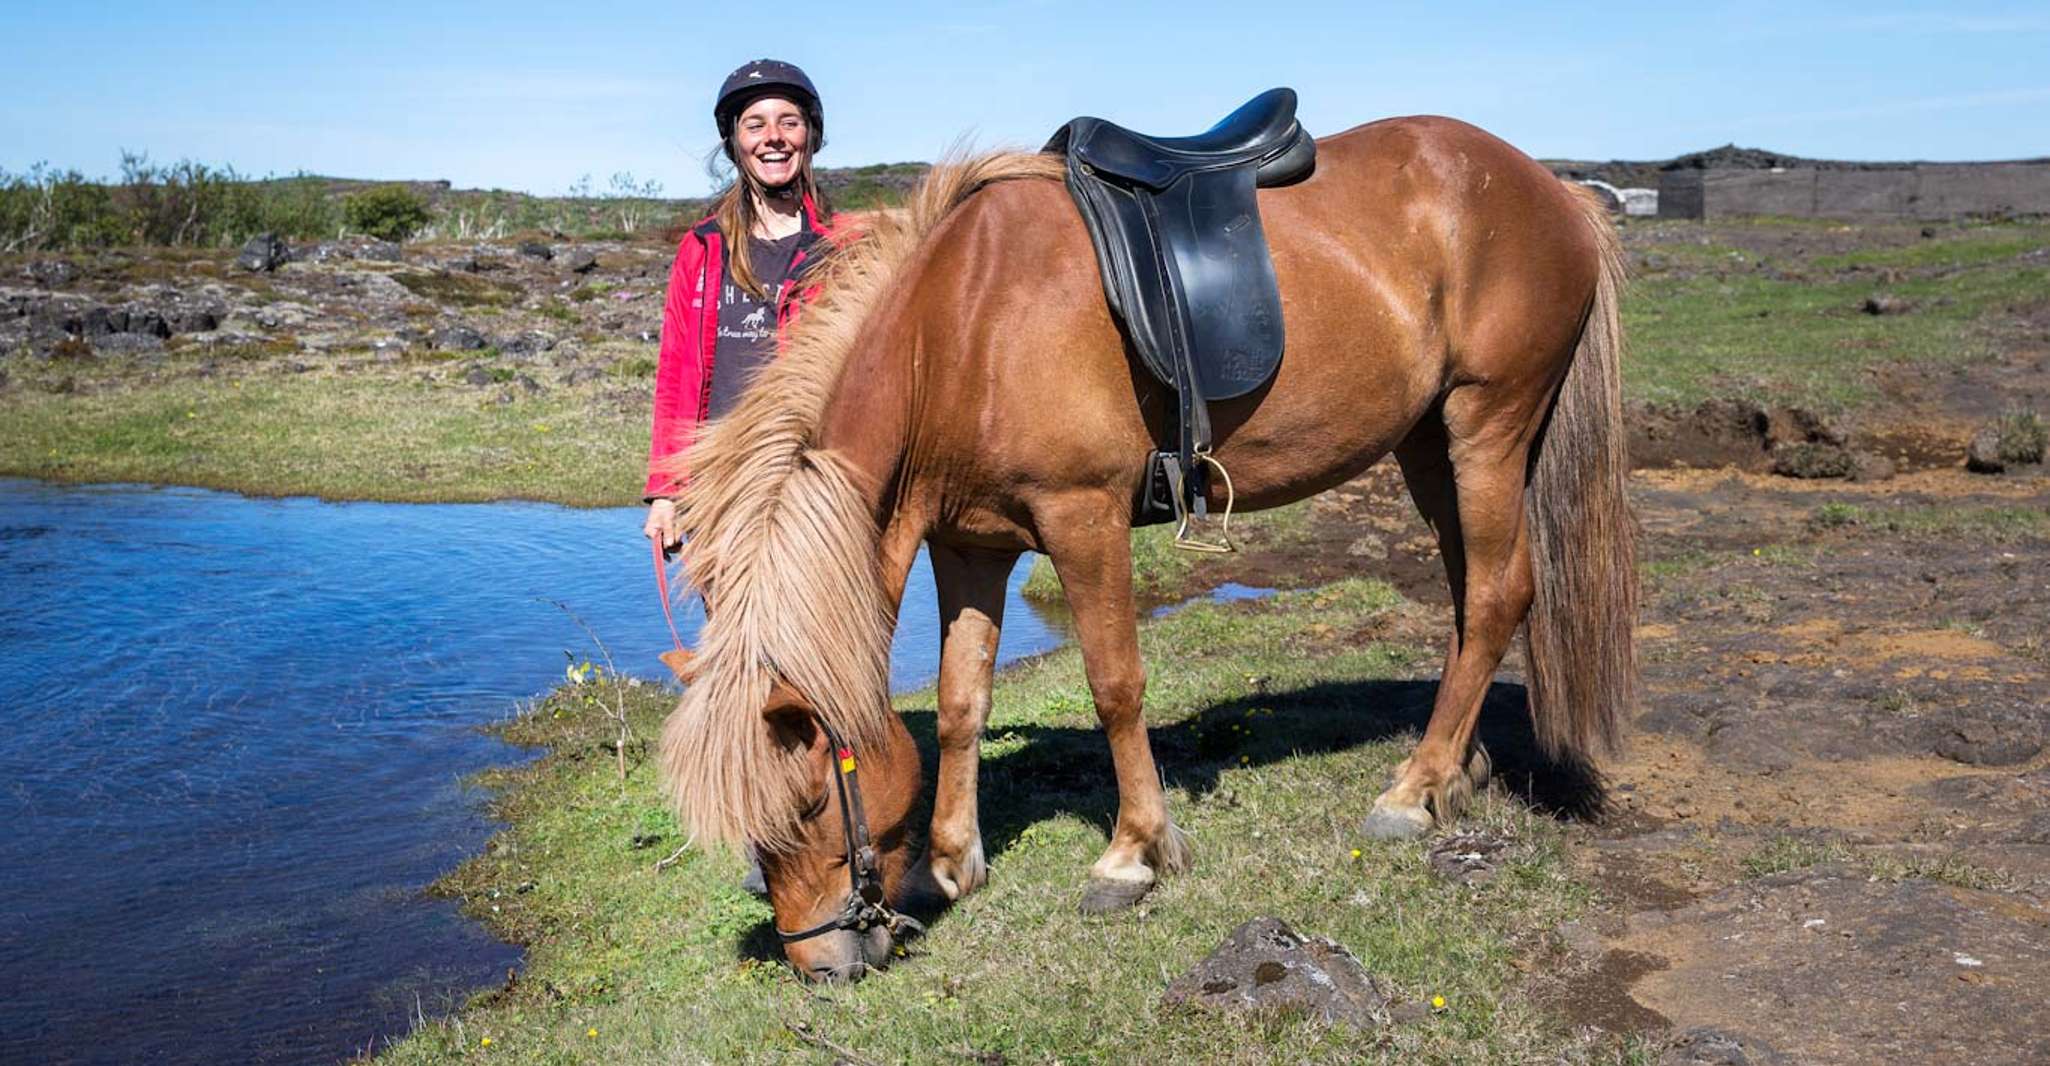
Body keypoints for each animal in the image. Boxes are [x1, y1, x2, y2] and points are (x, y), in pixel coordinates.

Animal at [664, 118, 1640, 984]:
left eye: (809, 803)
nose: (819, 967)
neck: (960, 331)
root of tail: (1555, 191)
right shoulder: (970, 546)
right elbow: (959, 700)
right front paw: (950, 861)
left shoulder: (1082, 518)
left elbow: (1115, 684)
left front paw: (1133, 853)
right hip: (1429, 445)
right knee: (1475, 592)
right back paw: (1456, 771)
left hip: (1487, 426)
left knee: (1498, 594)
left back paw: (1413, 790)